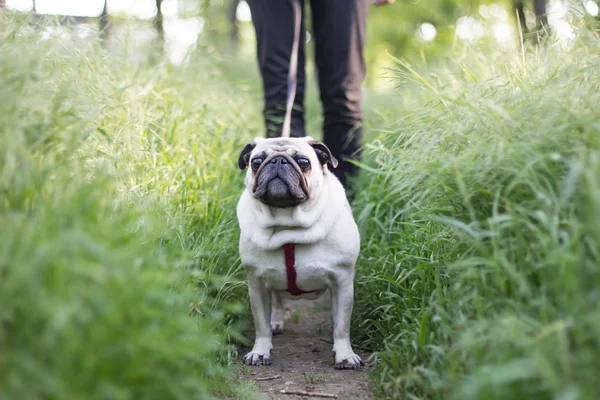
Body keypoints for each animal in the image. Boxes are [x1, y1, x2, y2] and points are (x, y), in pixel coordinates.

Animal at [238, 137, 360, 368]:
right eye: (256, 162)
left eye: (303, 162)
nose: (277, 161)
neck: (288, 227)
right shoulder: (257, 284)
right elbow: (261, 324)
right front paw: (260, 351)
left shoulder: (342, 281)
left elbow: (342, 325)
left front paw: (345, 355)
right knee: (277, 300)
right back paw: (276, 322)